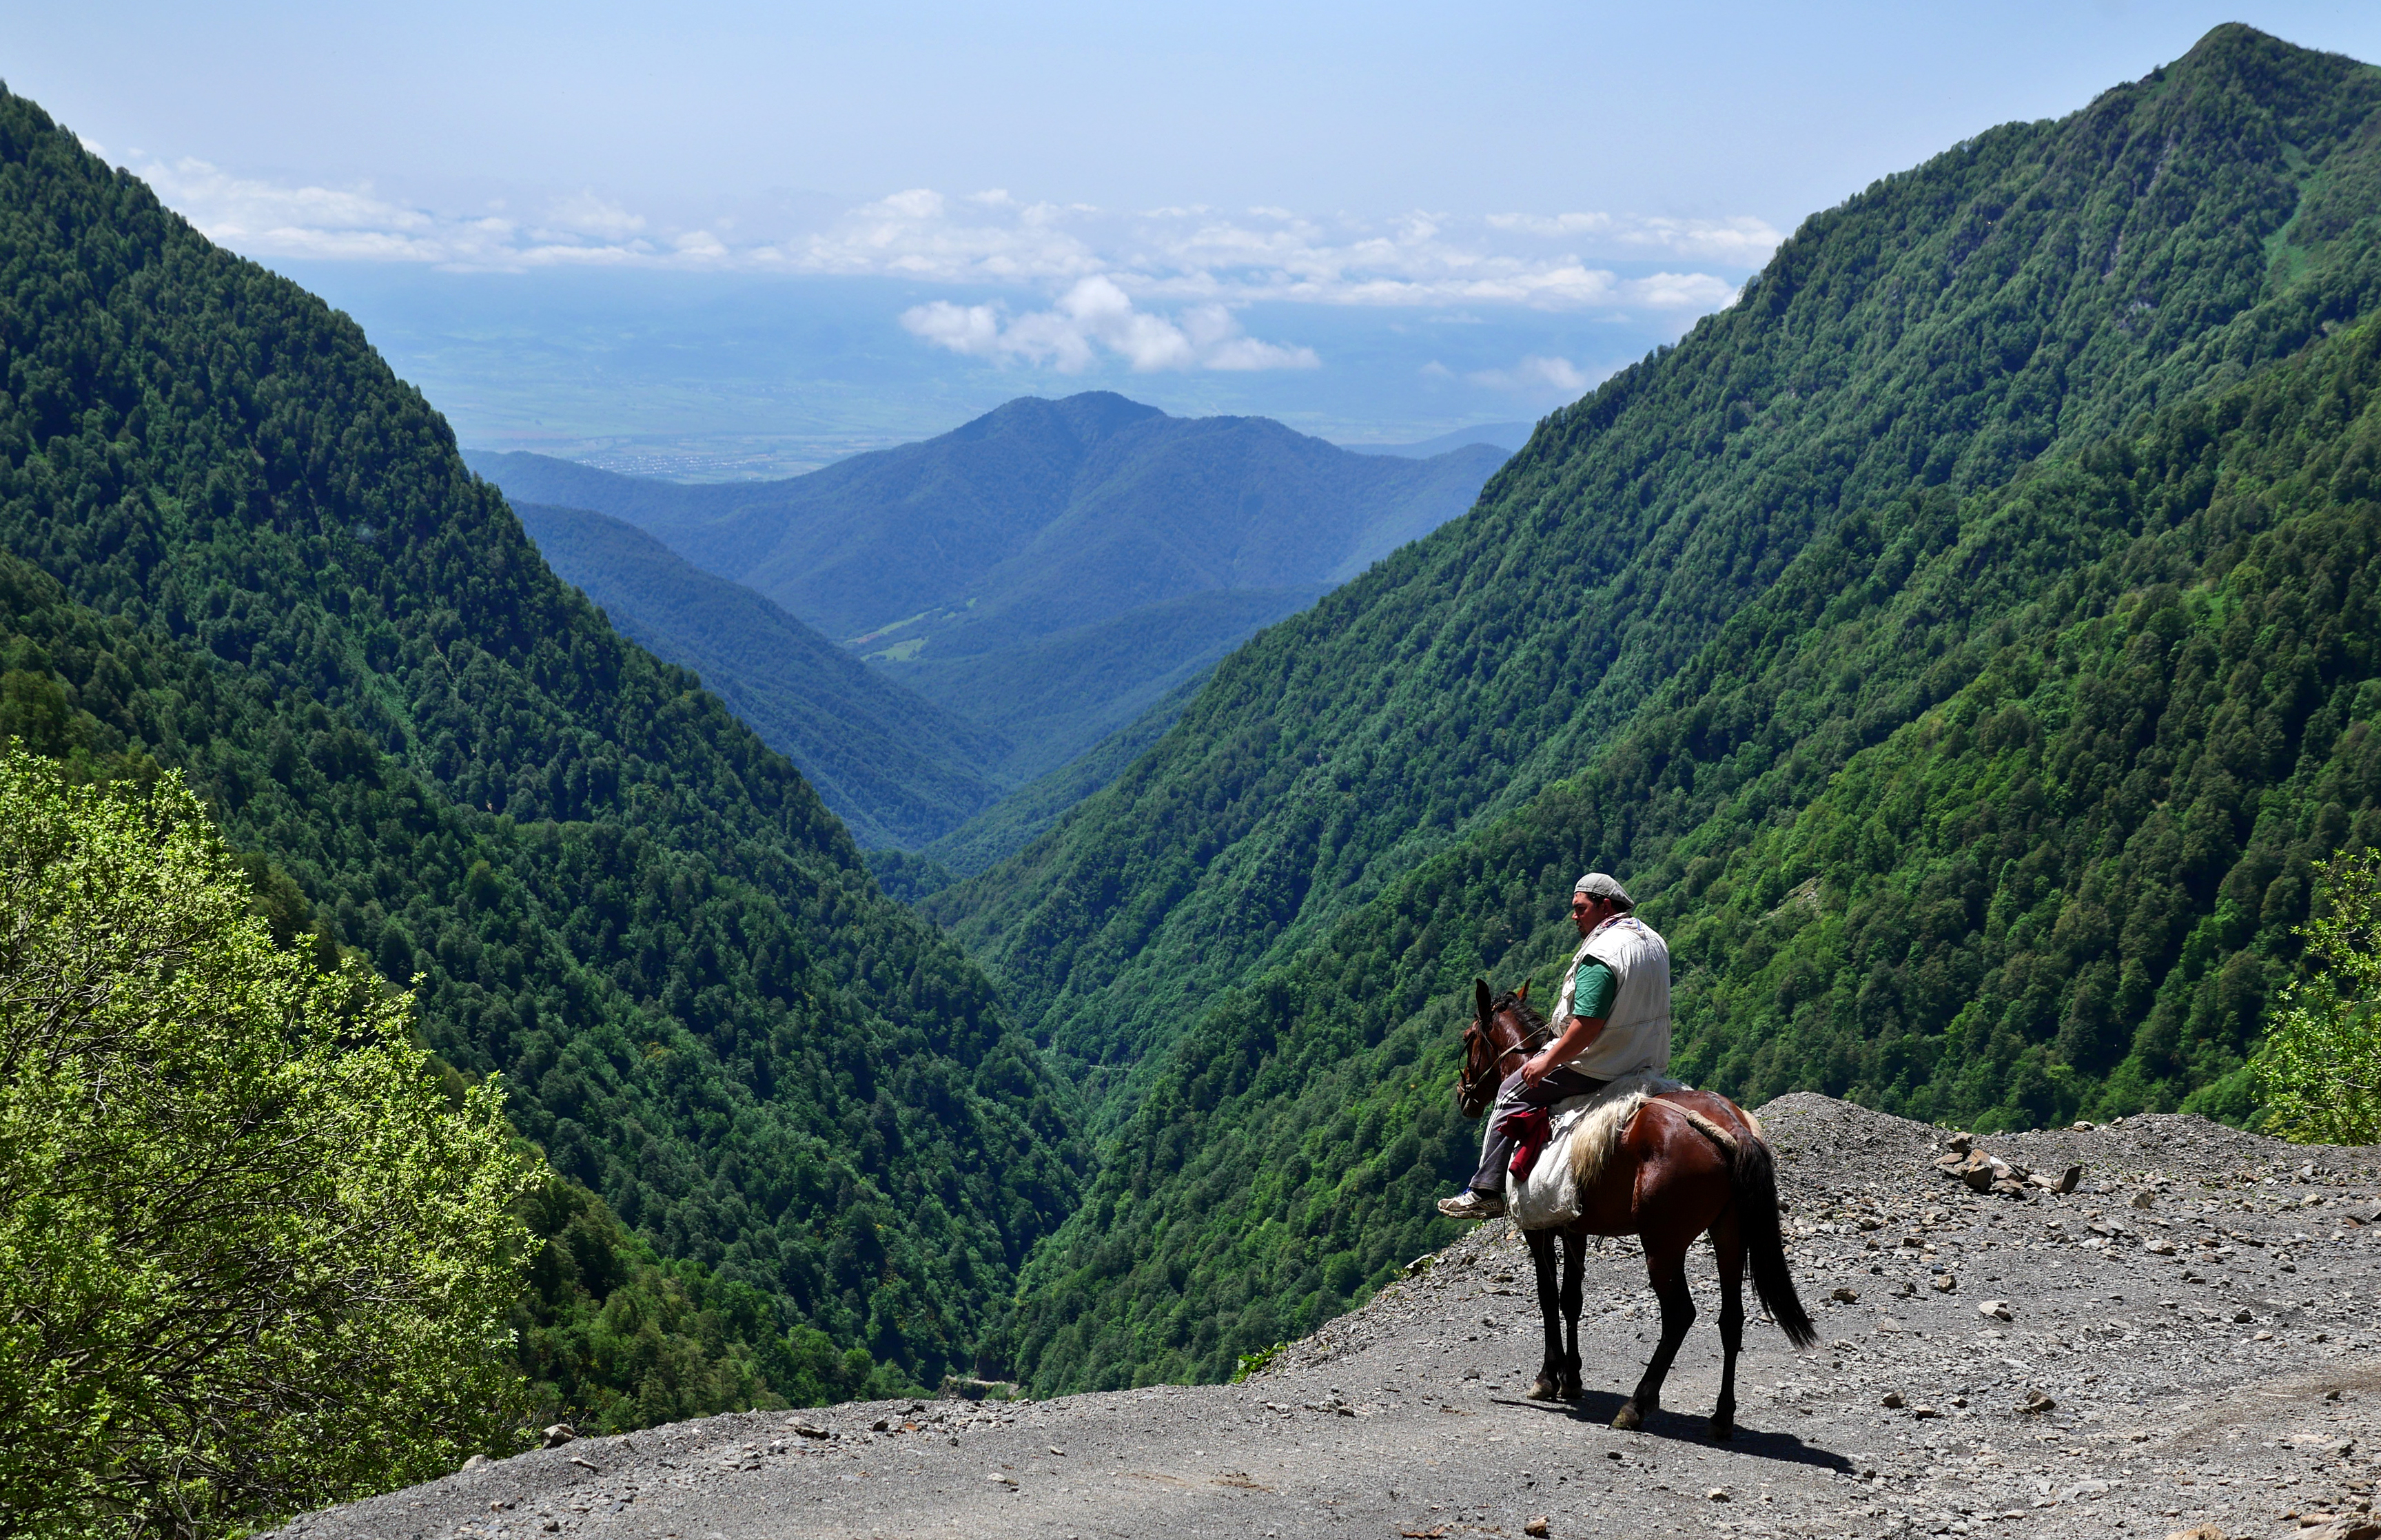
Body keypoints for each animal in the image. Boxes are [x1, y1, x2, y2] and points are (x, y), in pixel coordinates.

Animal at [1447, 981, 1799, 1437]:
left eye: (1469, 1038)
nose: (1464, 1096)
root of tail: (1734, 1130)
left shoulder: (1538, 1228)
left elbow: (1547, 1295)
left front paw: (1548, 1377)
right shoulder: (1572, 1225)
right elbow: (1571, 1298)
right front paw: (1572, 1378)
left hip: (1663, 1243)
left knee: (1680, 1315)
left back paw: (1637, 1404)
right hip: (1729, 1234)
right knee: (1732, 1319)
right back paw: (1722, 1417)